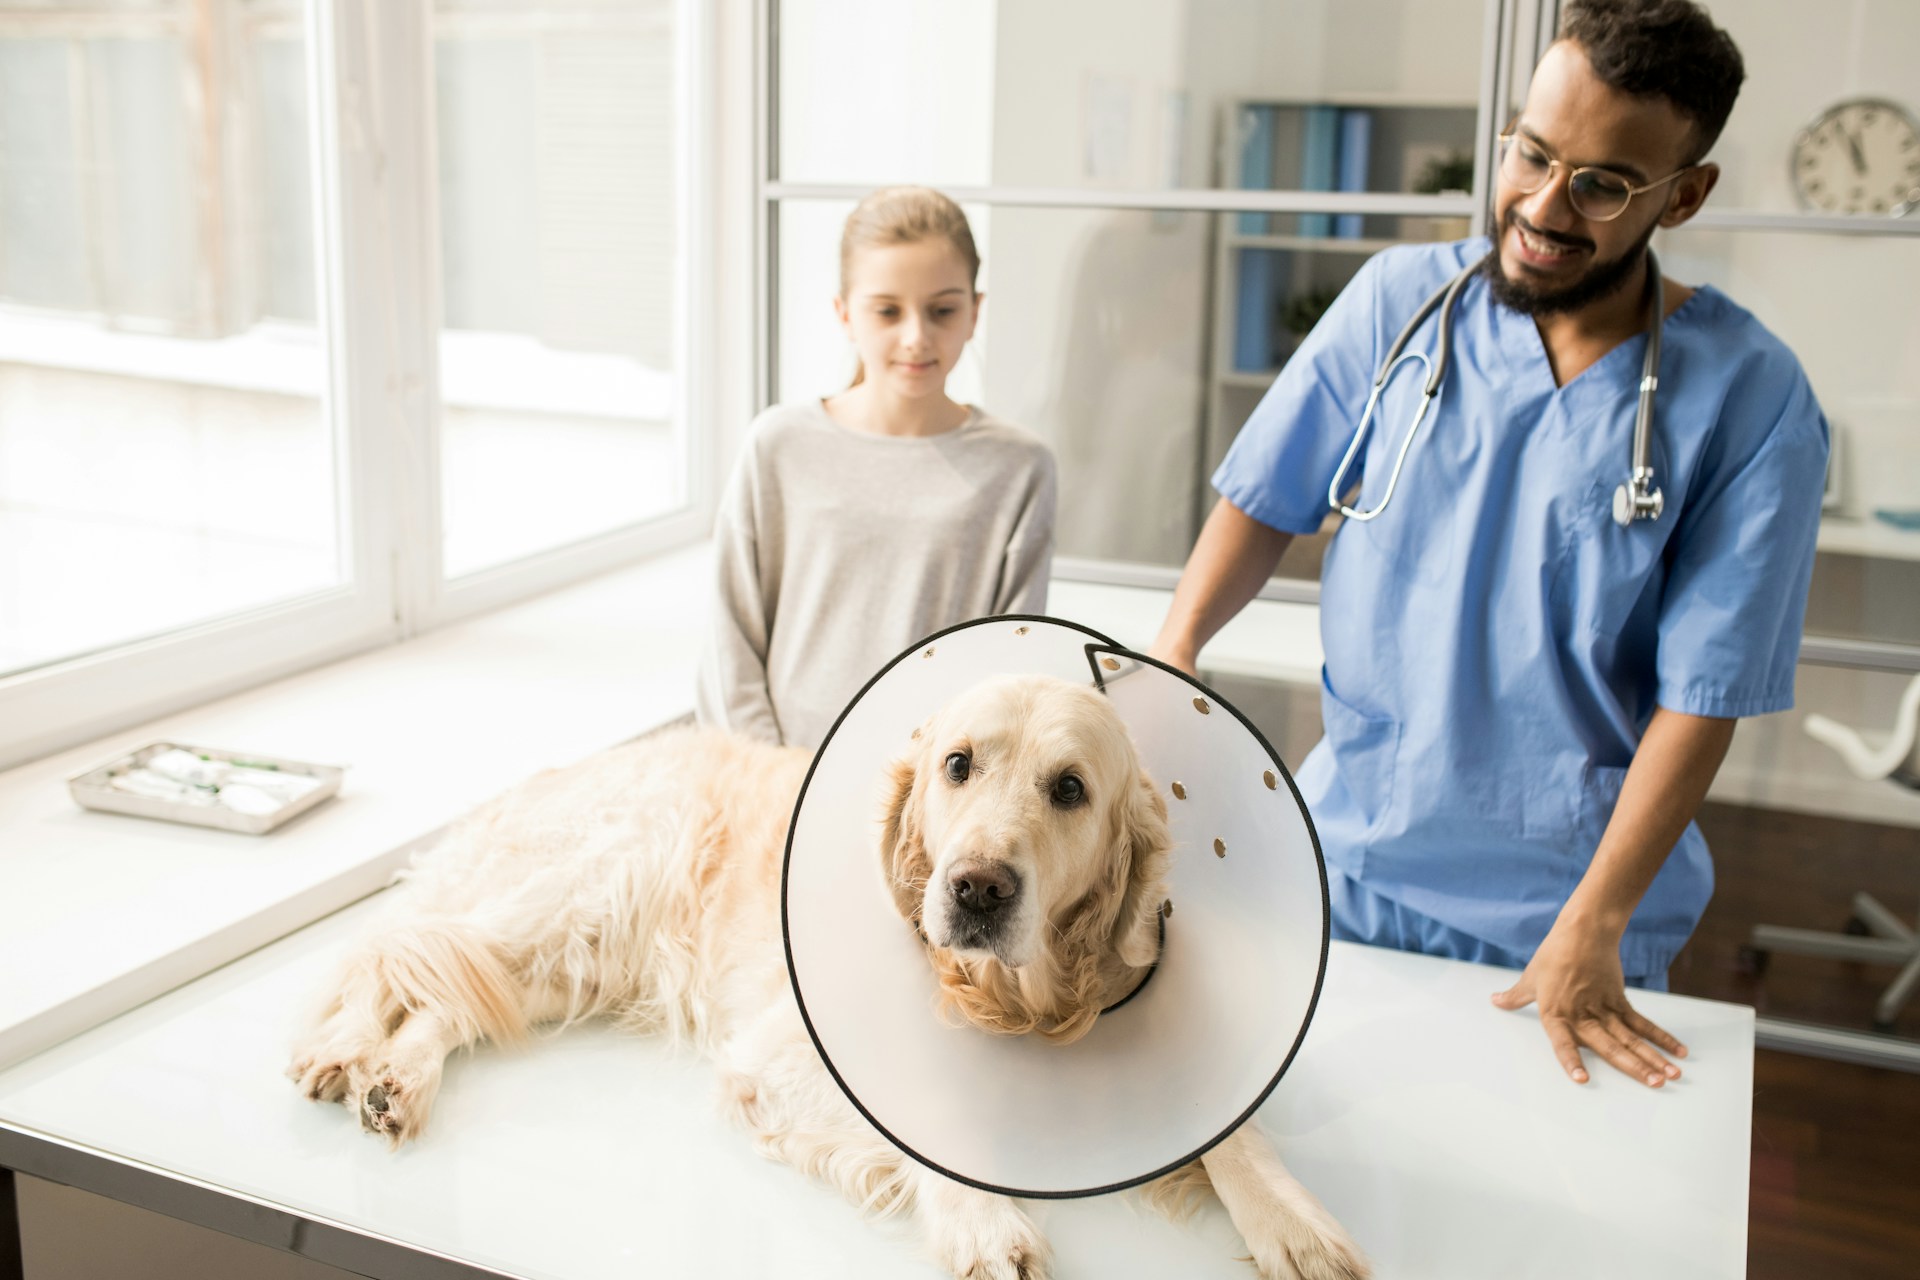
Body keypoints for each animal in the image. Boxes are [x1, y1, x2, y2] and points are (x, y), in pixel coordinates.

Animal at [288, 671, 1367, 1280]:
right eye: (957, 765)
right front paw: (985, 1222)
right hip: (589, 887)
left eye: (1070, 789)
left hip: (576, 957)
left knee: (453, 995)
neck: (1012, 1002)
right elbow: (926, 1131)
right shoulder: (783, 1054)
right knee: (399, 948)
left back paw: (394, 1079)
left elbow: (1234, 1131)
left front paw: (1297, 1221)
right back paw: (342, 1049)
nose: (977, 889)